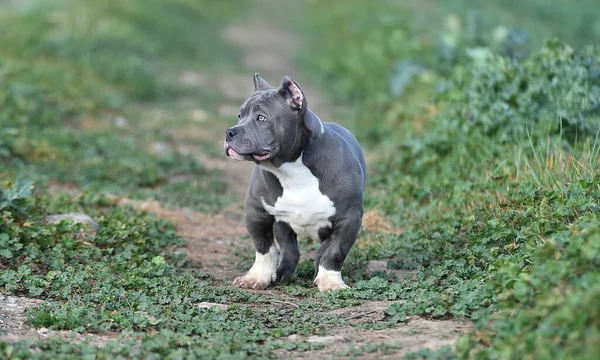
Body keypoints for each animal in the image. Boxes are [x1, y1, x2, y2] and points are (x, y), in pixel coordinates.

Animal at [224, 74, 366, 292]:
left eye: (261, 118)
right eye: (240, 116)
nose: (230, 132)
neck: (291, 169)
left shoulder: (348, 220)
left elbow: (334, 252)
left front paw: (331, 281)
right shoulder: (256, 215)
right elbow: (264, 249)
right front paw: (257, 276)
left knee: (321, 250)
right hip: (283, 225)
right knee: (290, 249)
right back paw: (282, 273)